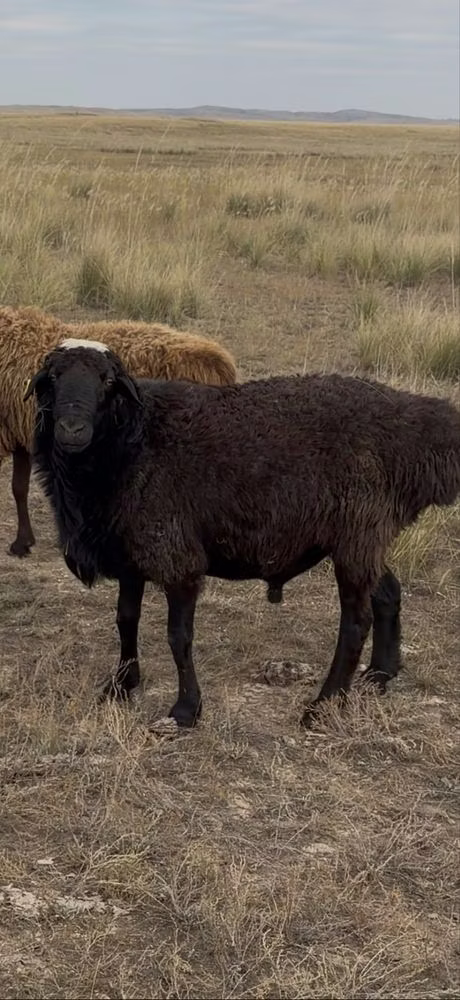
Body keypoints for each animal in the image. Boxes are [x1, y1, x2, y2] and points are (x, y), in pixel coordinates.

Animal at [25, 342, 460, 728]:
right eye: (53, 378)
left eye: (108, 380)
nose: (72, 429)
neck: (132, 441)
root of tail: (421, 428)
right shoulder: (131, 555)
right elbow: (125, 620)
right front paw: (122, 684)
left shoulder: (177, 556)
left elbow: (178, 637)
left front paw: (186, 710)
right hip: (361, 537)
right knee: (388, 593)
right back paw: (380, 674)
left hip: (358, 531)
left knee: (356, 622)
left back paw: (323, 705)